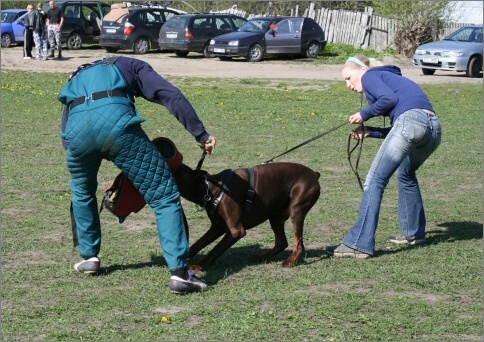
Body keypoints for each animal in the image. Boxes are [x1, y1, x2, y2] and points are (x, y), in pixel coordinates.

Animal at [171, 162, 322, 272]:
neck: (212, 188)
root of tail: (314, 174)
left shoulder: (235, 230)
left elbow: (214, 251)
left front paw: (199, 265)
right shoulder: (217, 227)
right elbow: (198, 244)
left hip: (297, 209)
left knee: (298, 243)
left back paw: (290, 260)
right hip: (275, 216)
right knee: (281, 242)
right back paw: (261, 257)